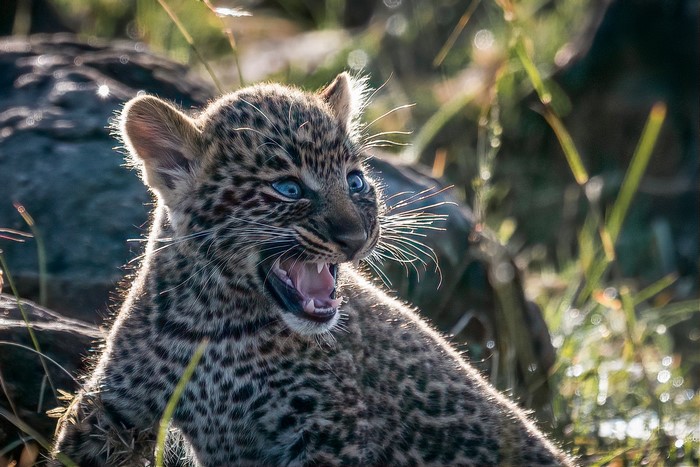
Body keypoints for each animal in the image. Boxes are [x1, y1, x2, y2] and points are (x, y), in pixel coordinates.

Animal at [51, 72, 575, 466]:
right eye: (288, 189)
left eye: (355, 180)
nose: (356, 237)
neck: (217, 323)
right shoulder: (114, 406)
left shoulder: (326, 431)